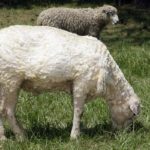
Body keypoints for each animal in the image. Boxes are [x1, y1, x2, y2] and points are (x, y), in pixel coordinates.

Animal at [0, 25, 140, 140]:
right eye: (133, 115)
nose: (124, 134)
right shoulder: (82, 82)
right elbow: (79, 111)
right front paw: (75, 136)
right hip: (10, 79)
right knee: (7, 110)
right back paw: (18, 136)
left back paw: (8, 137)